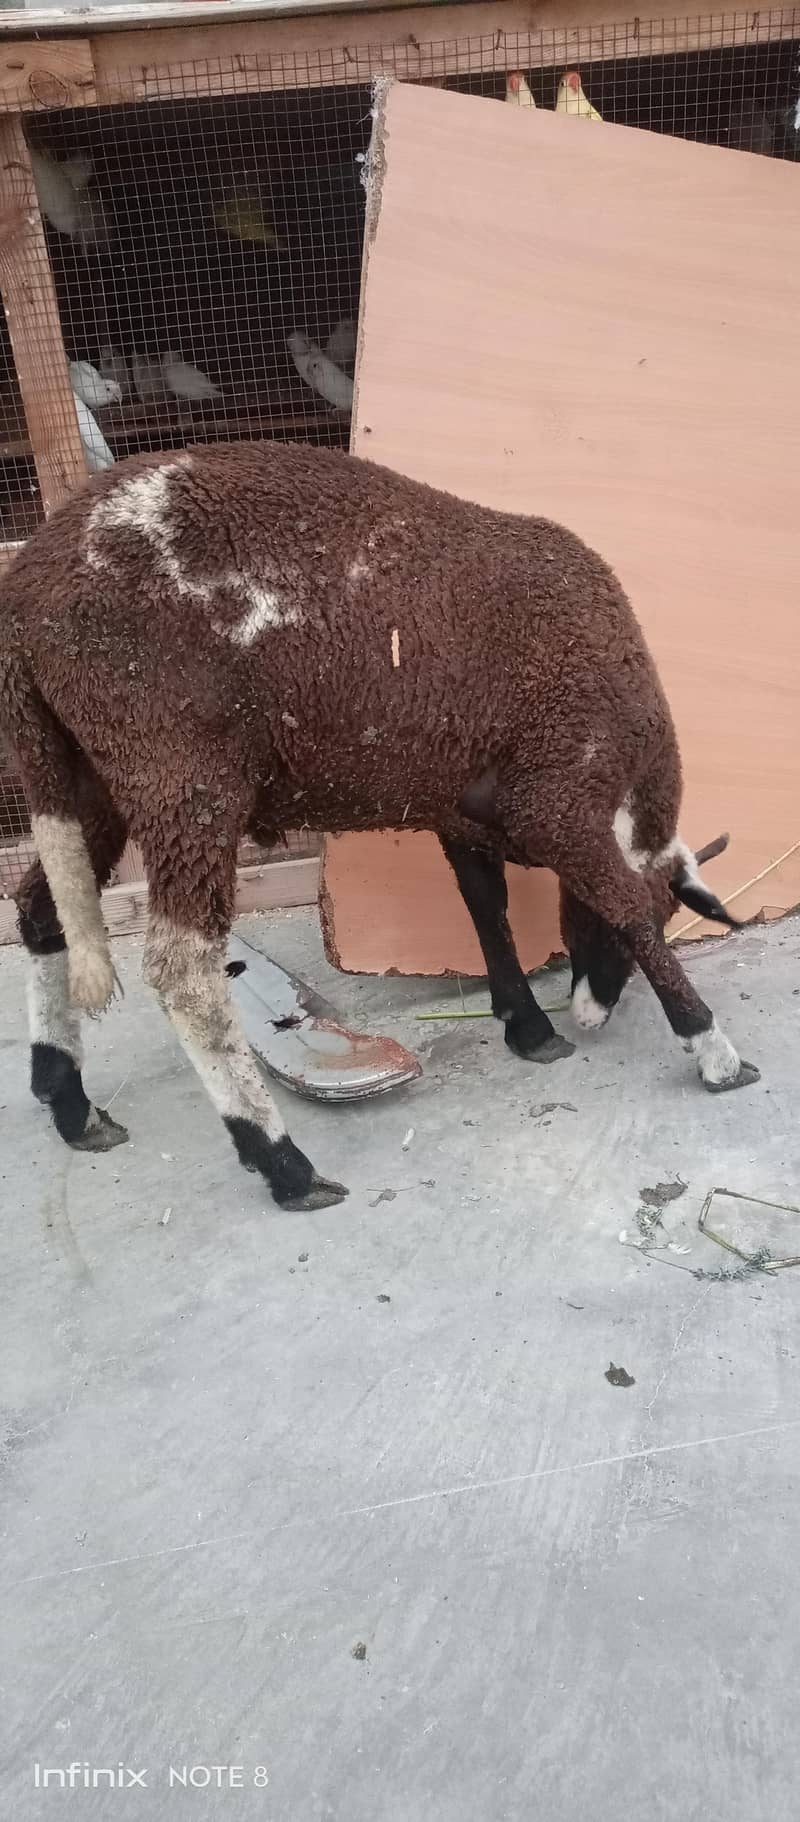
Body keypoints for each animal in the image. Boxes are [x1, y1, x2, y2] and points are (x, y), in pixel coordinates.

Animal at [0, 439, 758, 1210]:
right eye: (663, 919)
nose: (593, 1013)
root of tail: (26, 597)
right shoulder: (558, 802)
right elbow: (622, 903)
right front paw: (713, 1051)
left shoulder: (462, 811)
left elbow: (487, 909)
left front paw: (528, 1026)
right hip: (177, 767)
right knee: (183, 969)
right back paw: (282, 1162)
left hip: (83, 771)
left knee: (42, 908)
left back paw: (70, 1101)